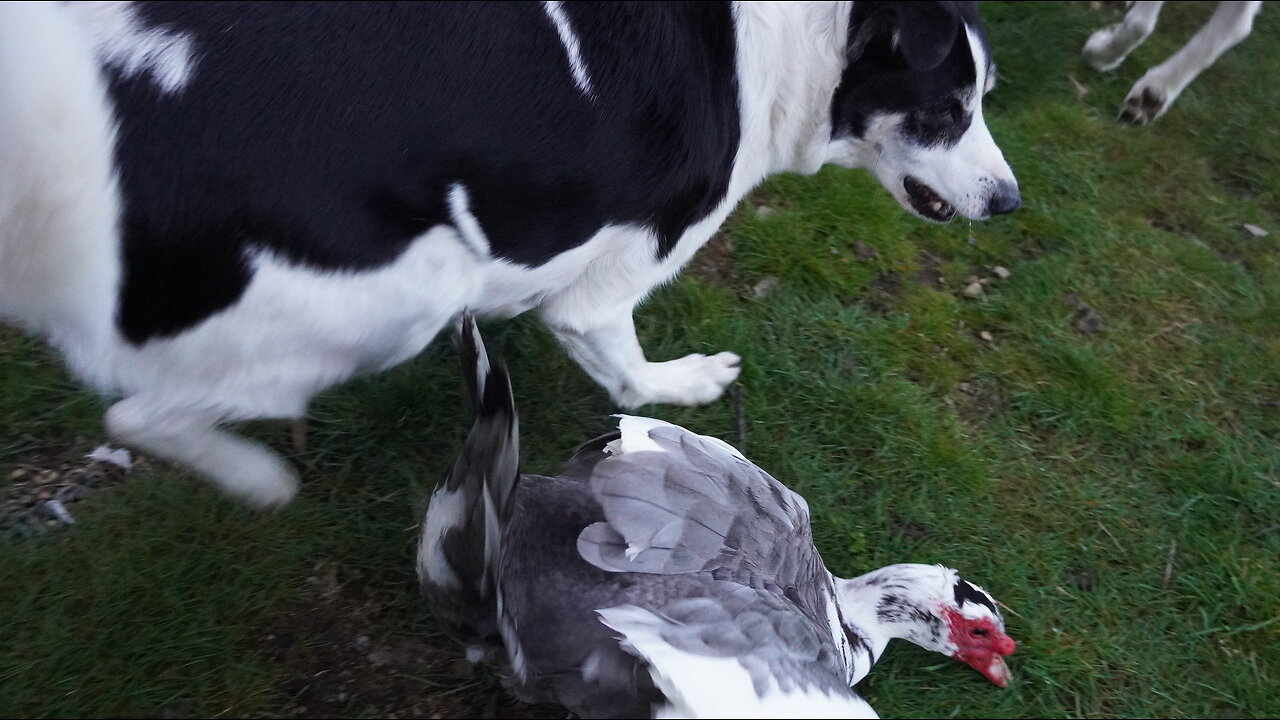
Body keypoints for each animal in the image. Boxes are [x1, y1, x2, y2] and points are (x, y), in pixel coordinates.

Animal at [0, 1, 1018, 504]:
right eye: (946, 108)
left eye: (983, 98)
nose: (1009, 201)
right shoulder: (609, 282)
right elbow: (627, 370)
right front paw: (689, 385)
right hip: (398, 295)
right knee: (137, 414)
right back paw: (258, 479)